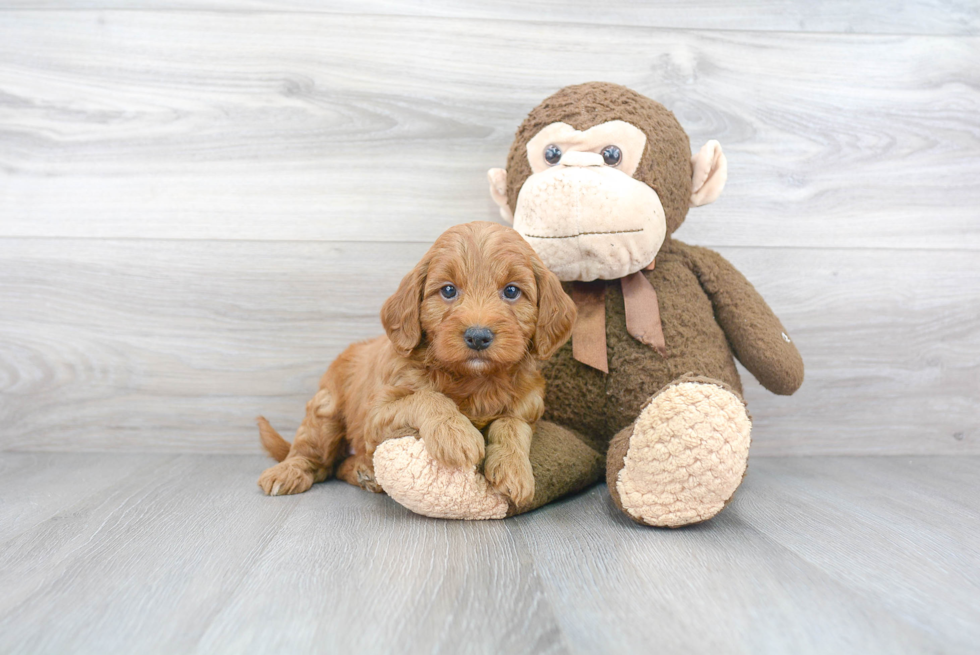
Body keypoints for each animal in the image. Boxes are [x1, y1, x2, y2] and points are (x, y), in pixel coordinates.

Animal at [256, 223, 580, 510]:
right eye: (448, 290)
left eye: (511, 291)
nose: (478, 336)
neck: (473, 380)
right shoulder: (376, 414)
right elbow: (427, 397)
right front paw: (456, 433)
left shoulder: (528, 407)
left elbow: (511, 424)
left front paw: (514, 469)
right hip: (326, 410)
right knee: (316, 458)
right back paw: (290, 471)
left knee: (338, 465)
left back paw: (364, 473)